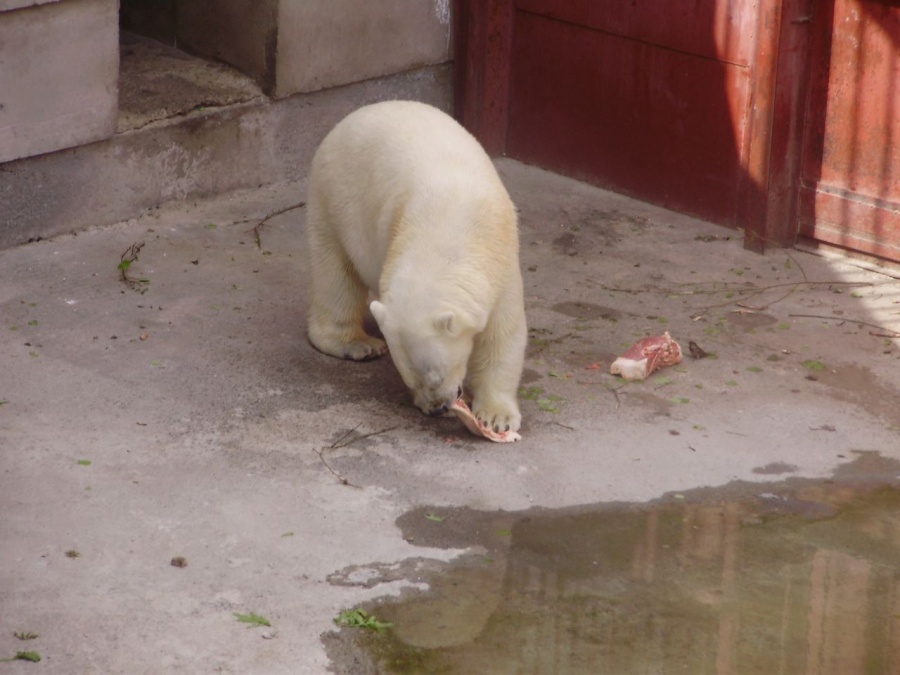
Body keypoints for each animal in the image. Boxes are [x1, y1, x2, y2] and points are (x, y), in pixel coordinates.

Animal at [306, 100, 528, 434]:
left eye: (438, 375)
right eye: (411, 379)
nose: (438, 409)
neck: (446, 229)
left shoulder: (499, 258)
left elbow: (501, 333)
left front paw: (496, 418)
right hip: (332, 196)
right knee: (335, 273)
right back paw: (358, 343)